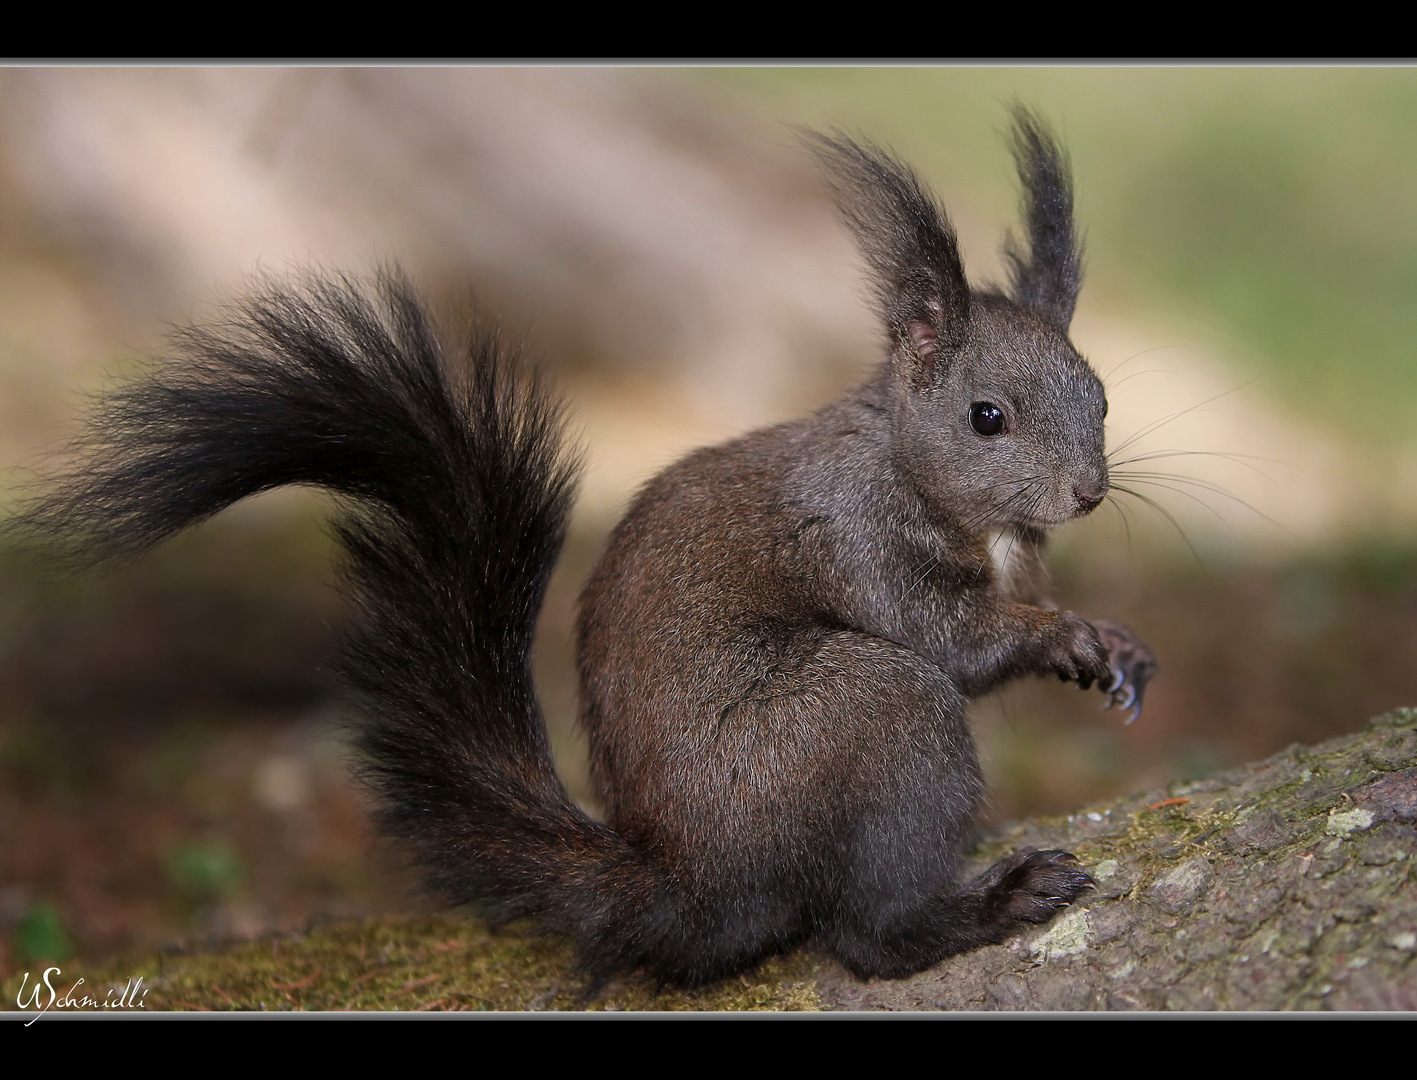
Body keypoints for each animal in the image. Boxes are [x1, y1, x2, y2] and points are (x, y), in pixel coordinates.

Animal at [19, 107, 1150, 986]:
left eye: (1100, 395)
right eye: (986, 417)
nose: (1088, 493)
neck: (967, 514)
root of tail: (692, 888)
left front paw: (1113, 645)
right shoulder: (857, 533)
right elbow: (950, 637)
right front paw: (1065, 636)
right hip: (866, 721)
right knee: (867, 931)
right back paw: (991, 904)